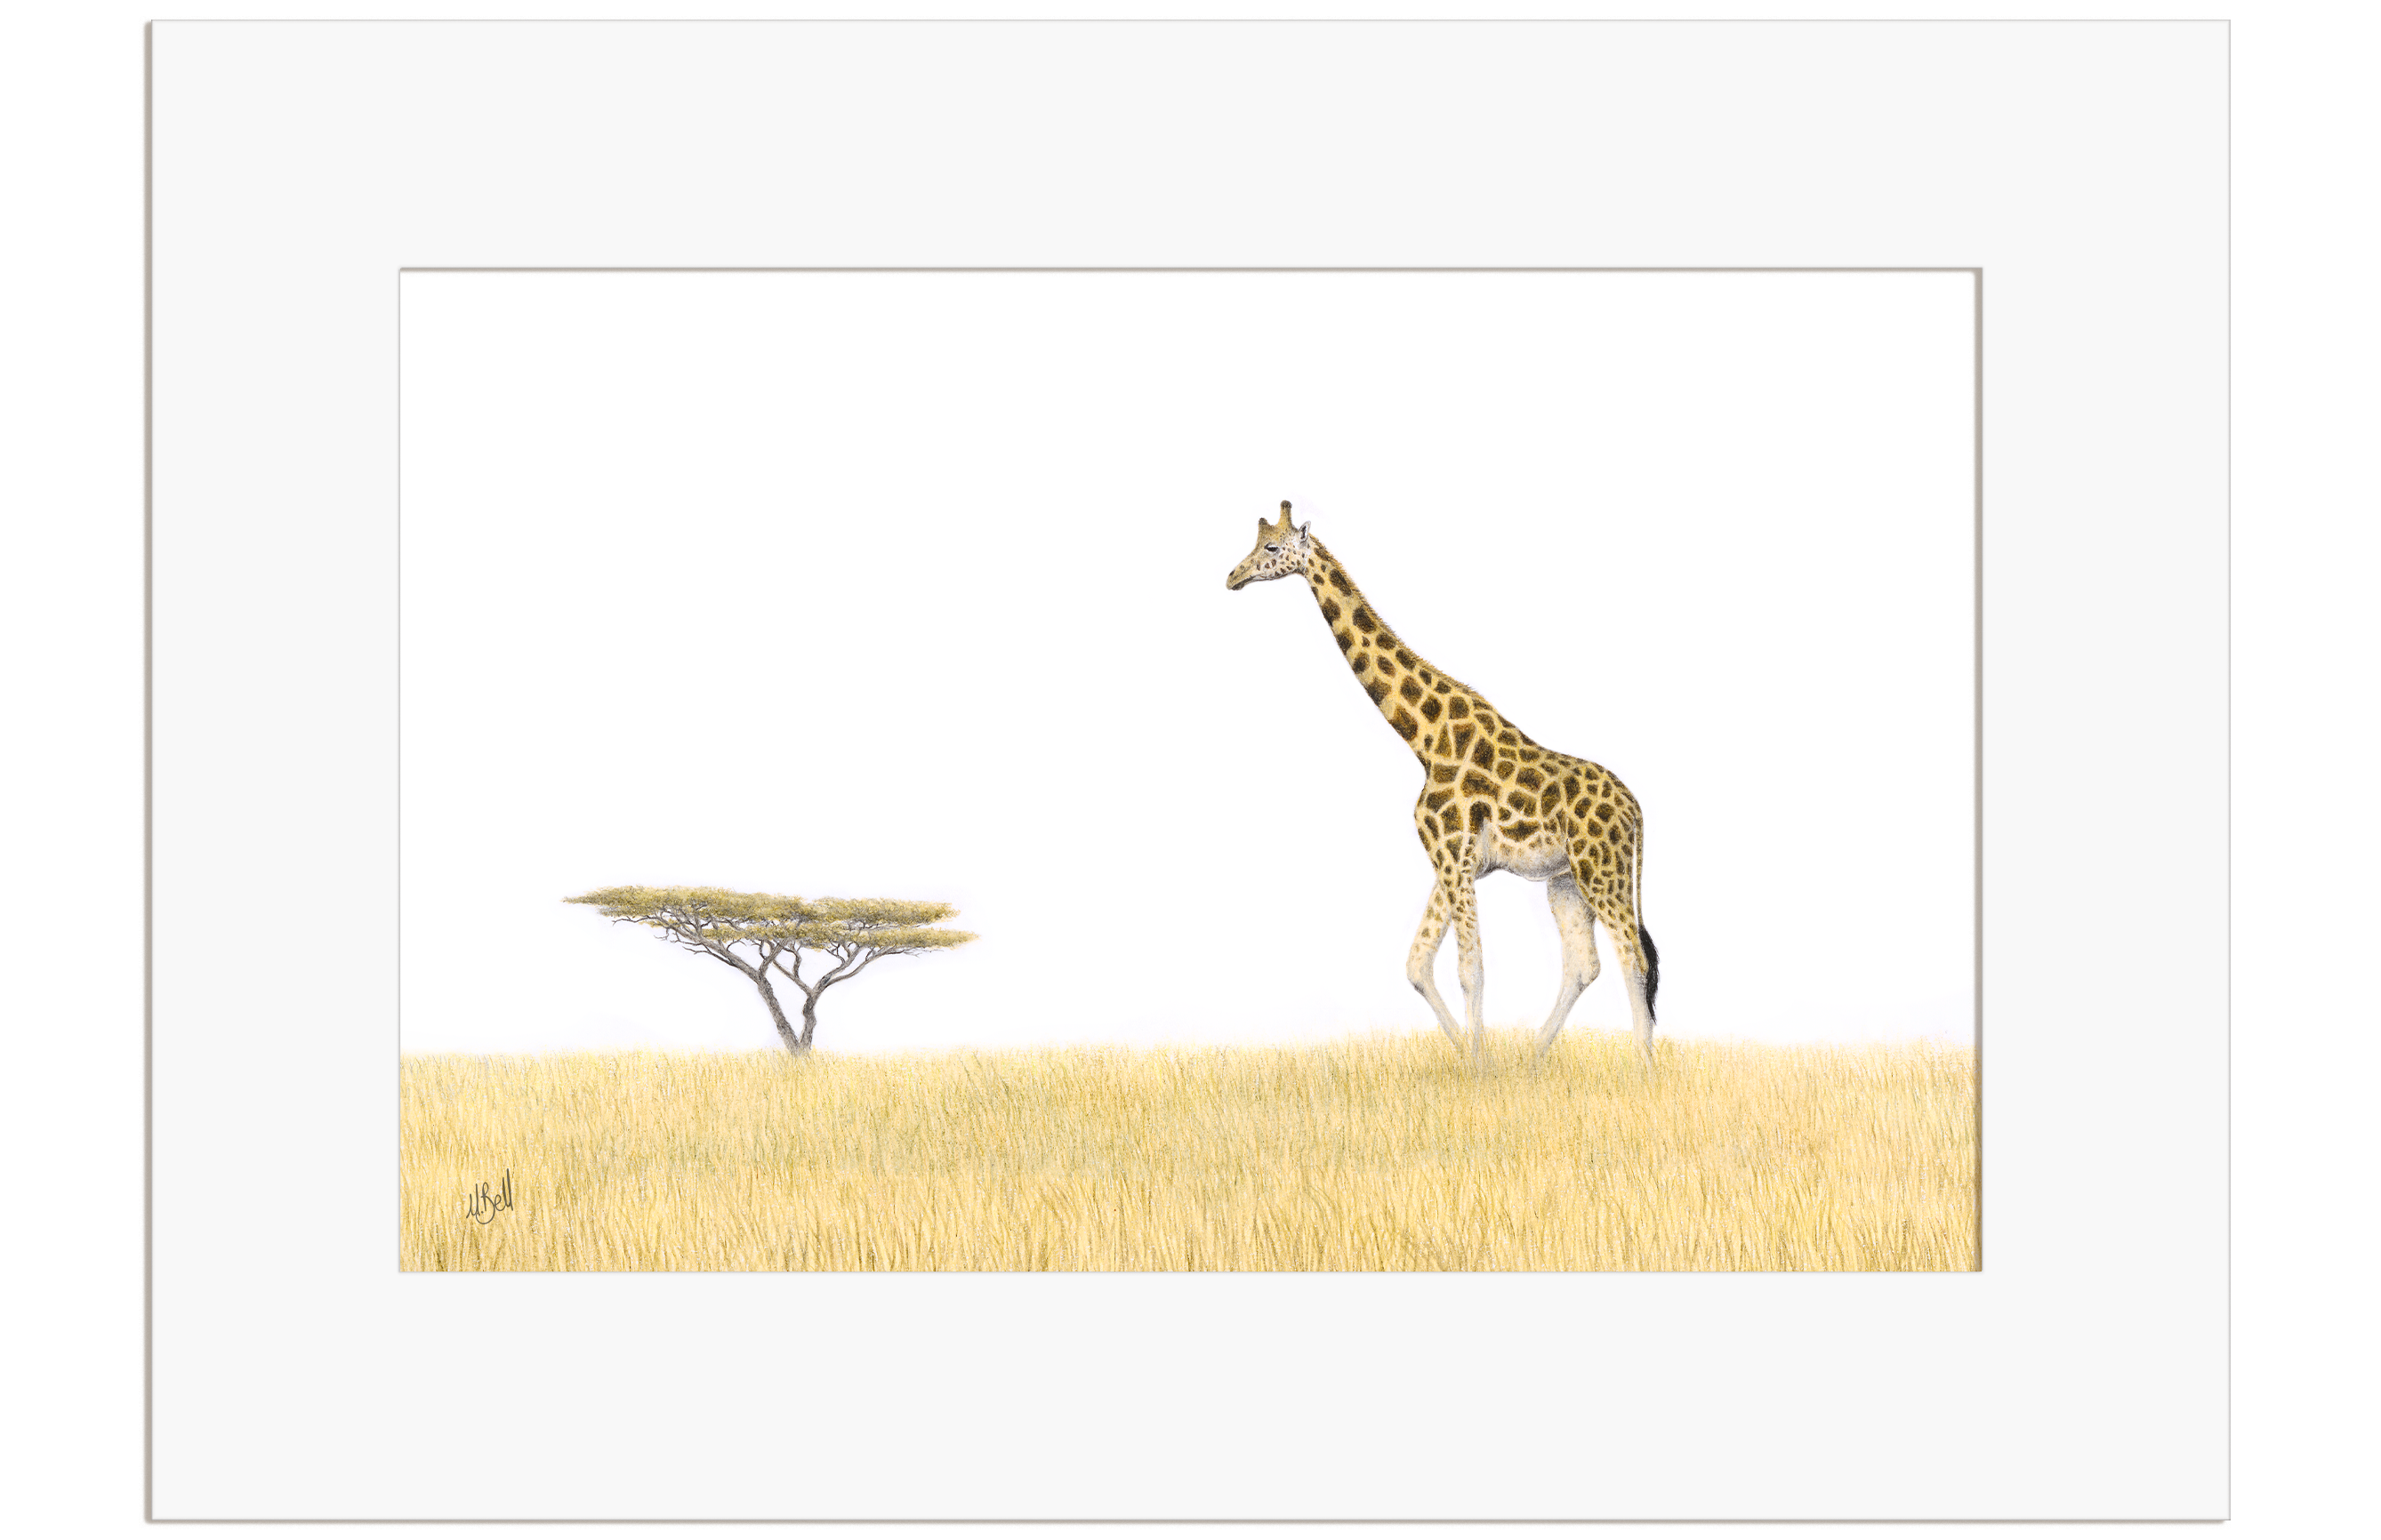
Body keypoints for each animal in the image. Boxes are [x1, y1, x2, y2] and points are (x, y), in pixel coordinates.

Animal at [1226, 501, 1661, 1065]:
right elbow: (1418, 964)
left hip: (1600, 871)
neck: (1426, 741)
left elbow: (1470, 969)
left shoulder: (1453, 855)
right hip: (1566, 882)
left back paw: (1645, 1069)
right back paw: (1533, 1060)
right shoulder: (1451, 860)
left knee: (1634, 957)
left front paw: (1479, 1066)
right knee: (1586, 963)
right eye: (1255, 544)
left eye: (1272, 548)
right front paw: (1473, 1060)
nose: (1232, 576)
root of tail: (1636, 809)